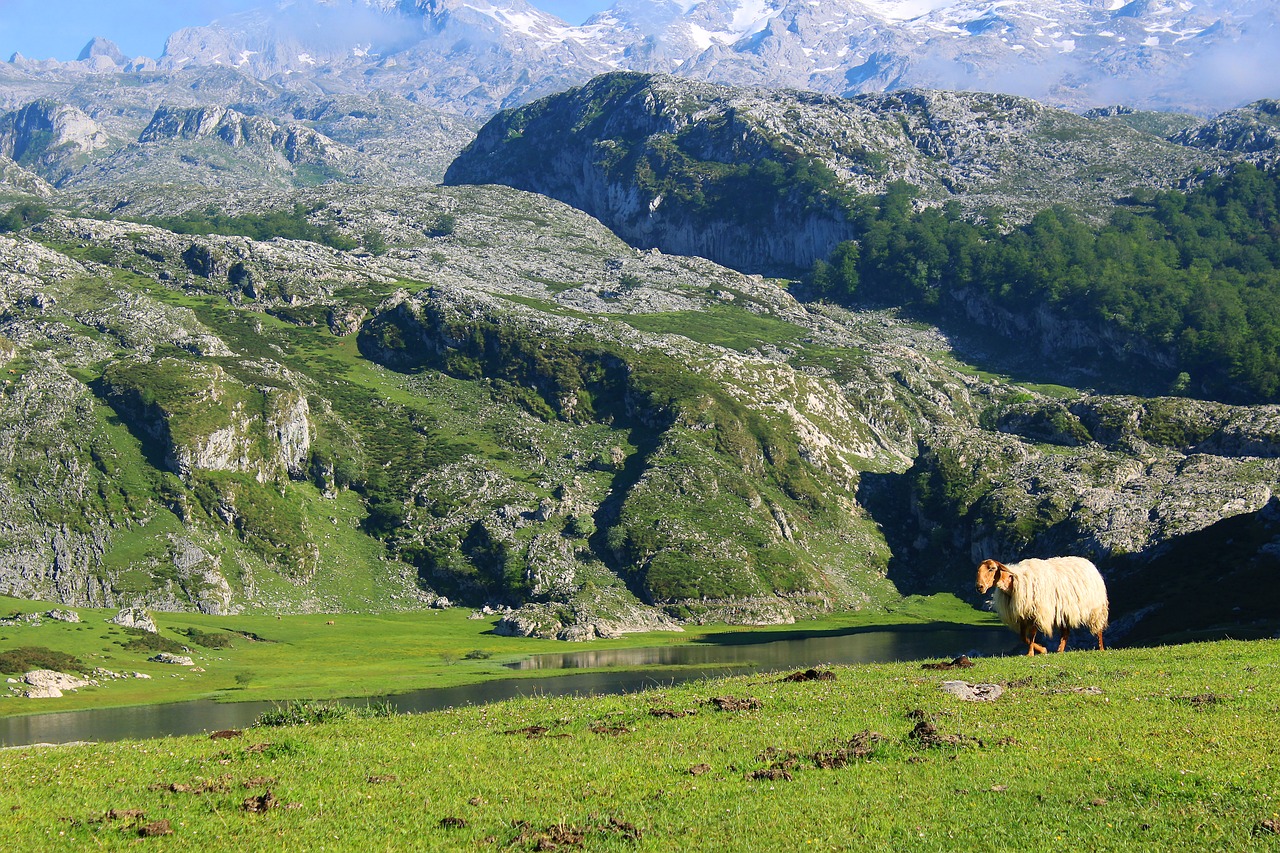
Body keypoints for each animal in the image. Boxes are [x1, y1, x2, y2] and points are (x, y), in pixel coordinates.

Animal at [972, 555, 1105, 653]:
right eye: (978, 570)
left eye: (992, 568)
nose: (979, 587)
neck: (1015, 582)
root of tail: (1089, 563)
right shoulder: (1022, 615)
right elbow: (1023, 637)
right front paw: (1042, 649)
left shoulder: (1036, 611)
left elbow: (1032, 634)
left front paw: (1031, 653)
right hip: (1064, 611)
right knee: (1066, 633)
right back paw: (1059, 651)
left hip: (1096, 607)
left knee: (1098, 628)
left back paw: (1101, 648)